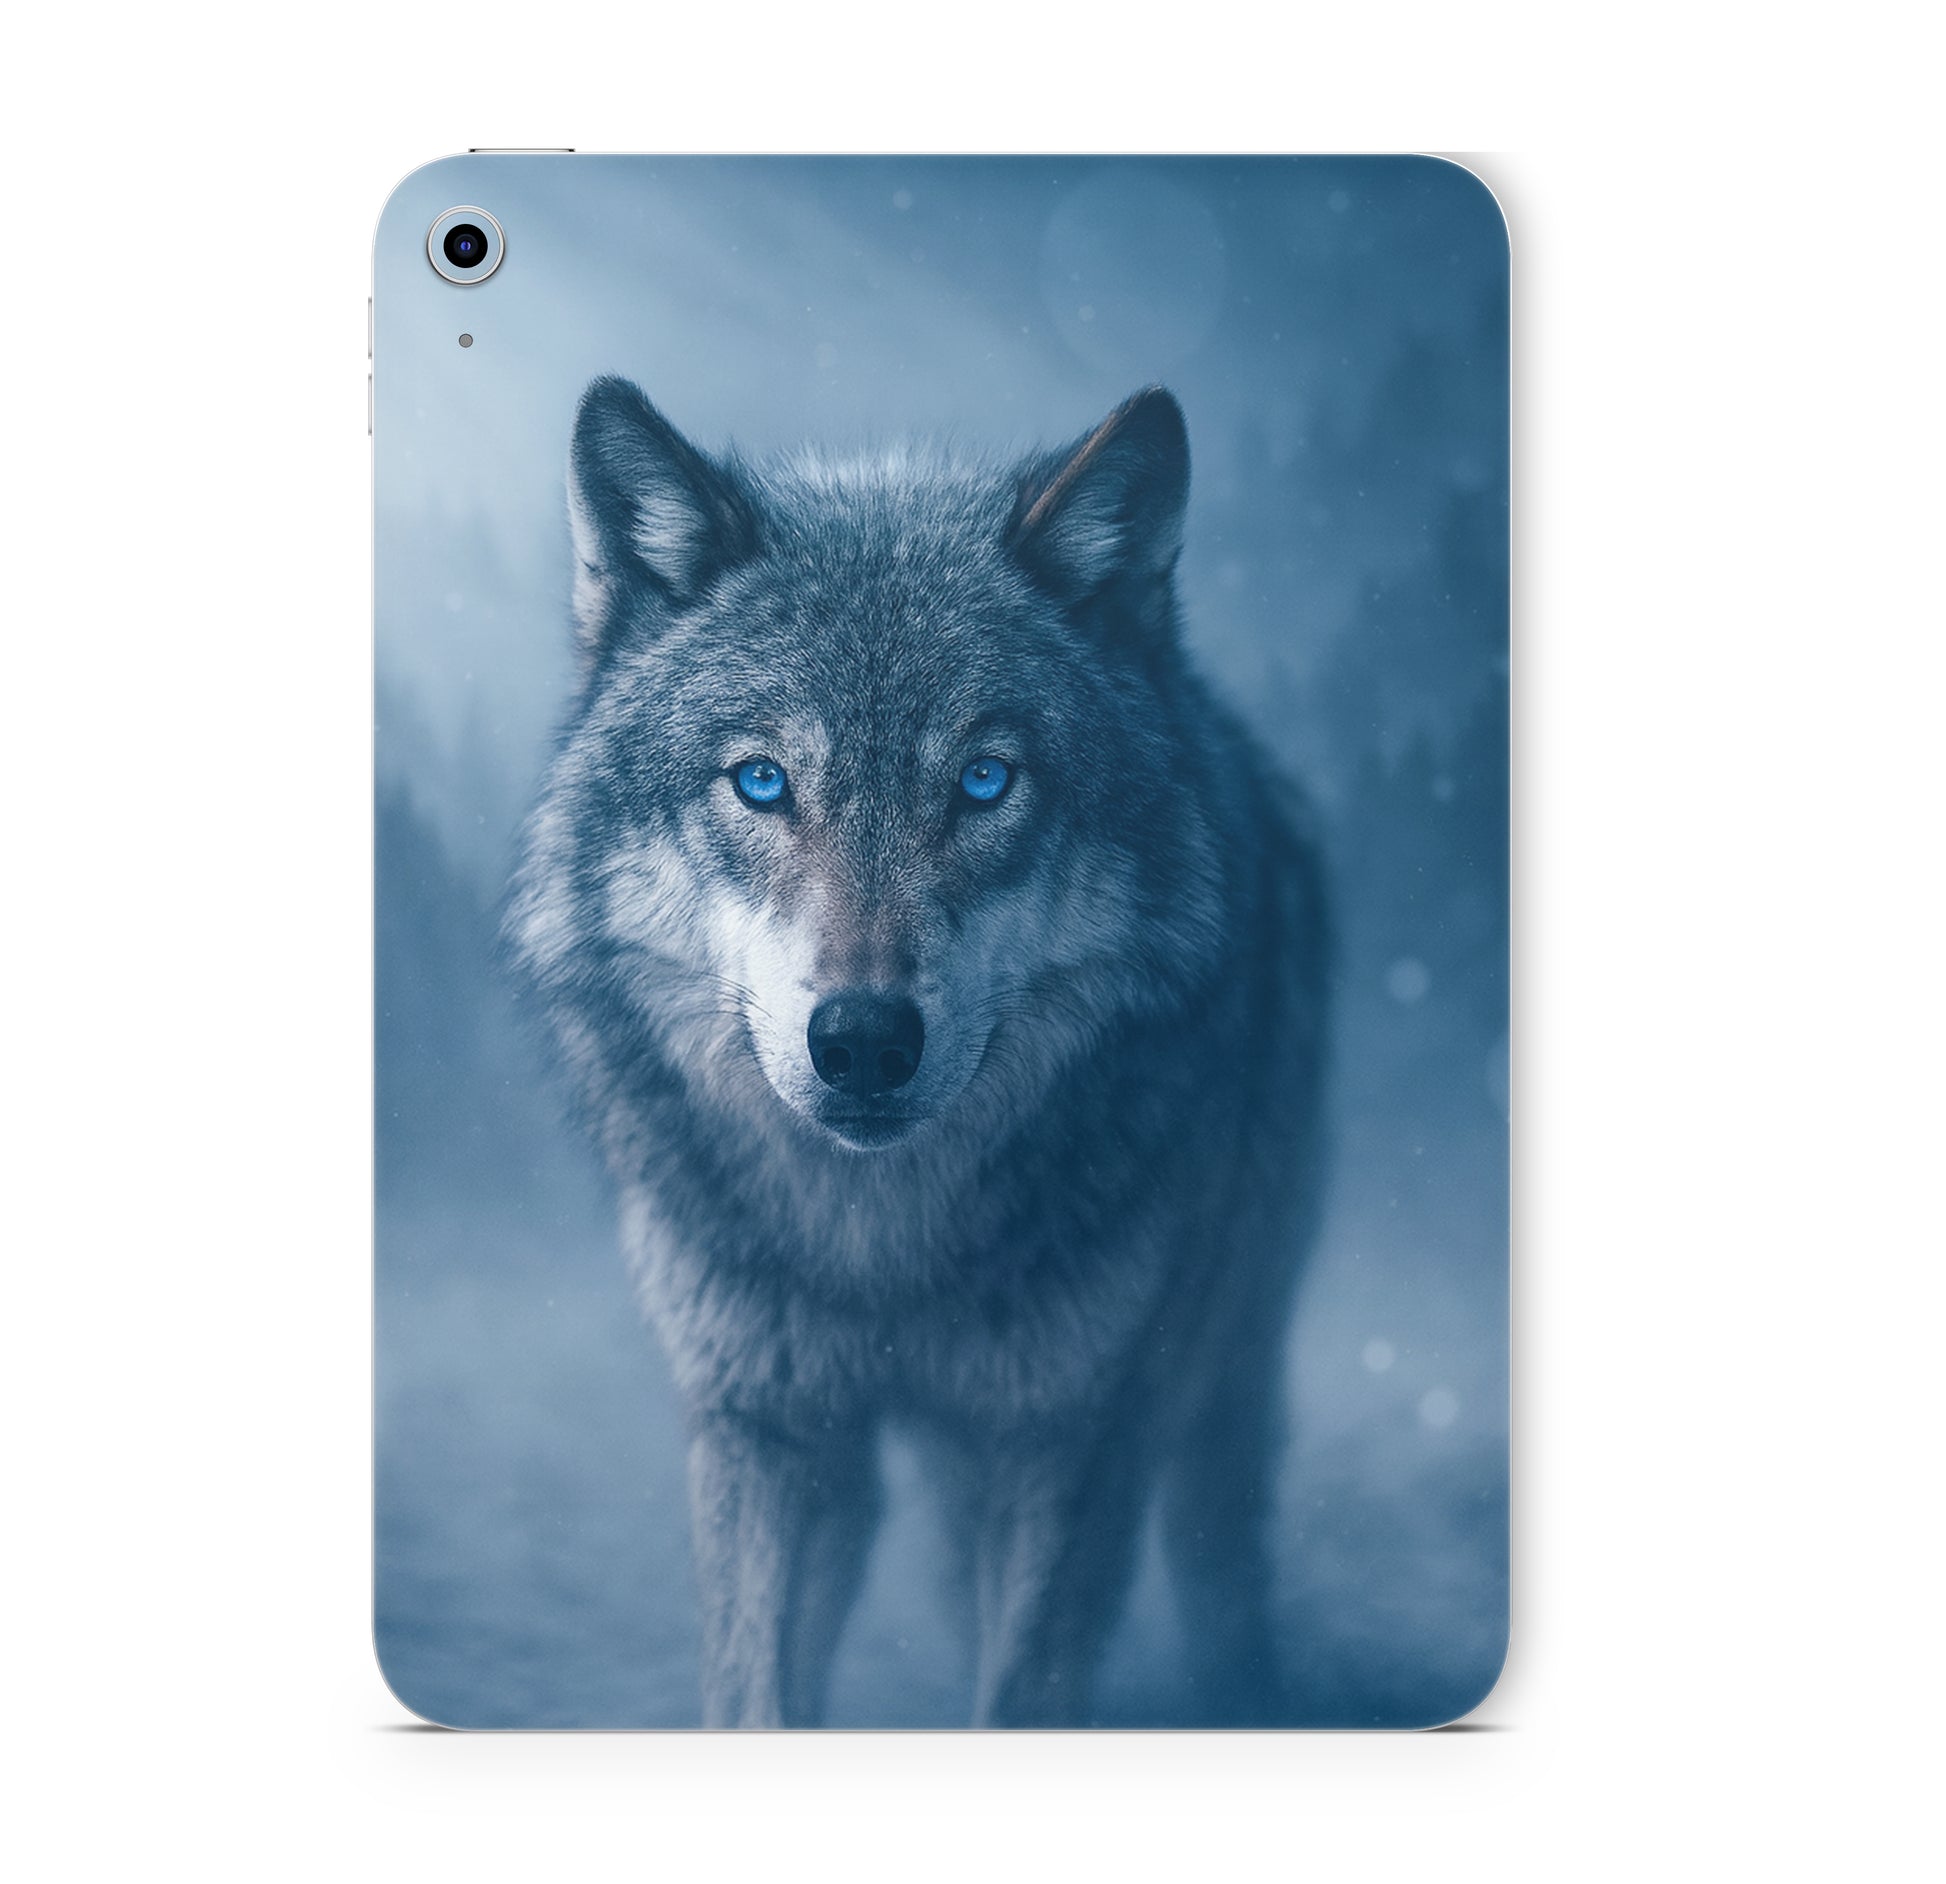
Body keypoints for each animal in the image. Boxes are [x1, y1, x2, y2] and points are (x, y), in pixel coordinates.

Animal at [508, 377, 1329, 1727]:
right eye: (762, 781)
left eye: (985, 780)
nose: (861, 1042)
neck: (880, 1255)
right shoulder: (766, 1426)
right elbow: (751, 1694)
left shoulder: (1072, 1434)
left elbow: (1027, 1690)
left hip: (1218, 1361)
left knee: (1225, 1545)